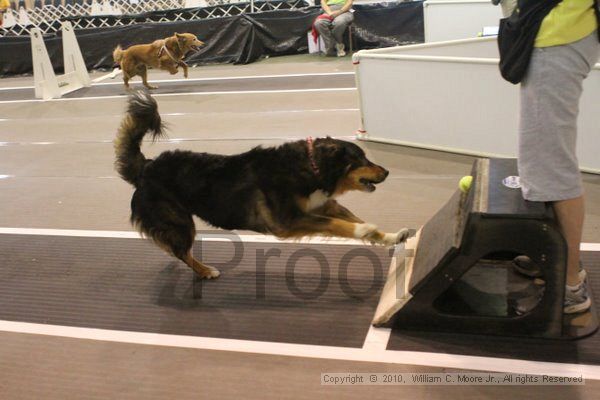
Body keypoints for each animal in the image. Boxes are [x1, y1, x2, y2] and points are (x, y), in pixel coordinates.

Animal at [115, 92, 410, 280]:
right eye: (360, 159)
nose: (386, 172)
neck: (310, 167)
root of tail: (146, 167)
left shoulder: (324, 204)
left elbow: (353, 221)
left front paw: (391, 237)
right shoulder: (288, 221)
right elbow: (339, 225)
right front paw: (363, 230)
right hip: (179, 221)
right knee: (180, 252)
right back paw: (206, 271)